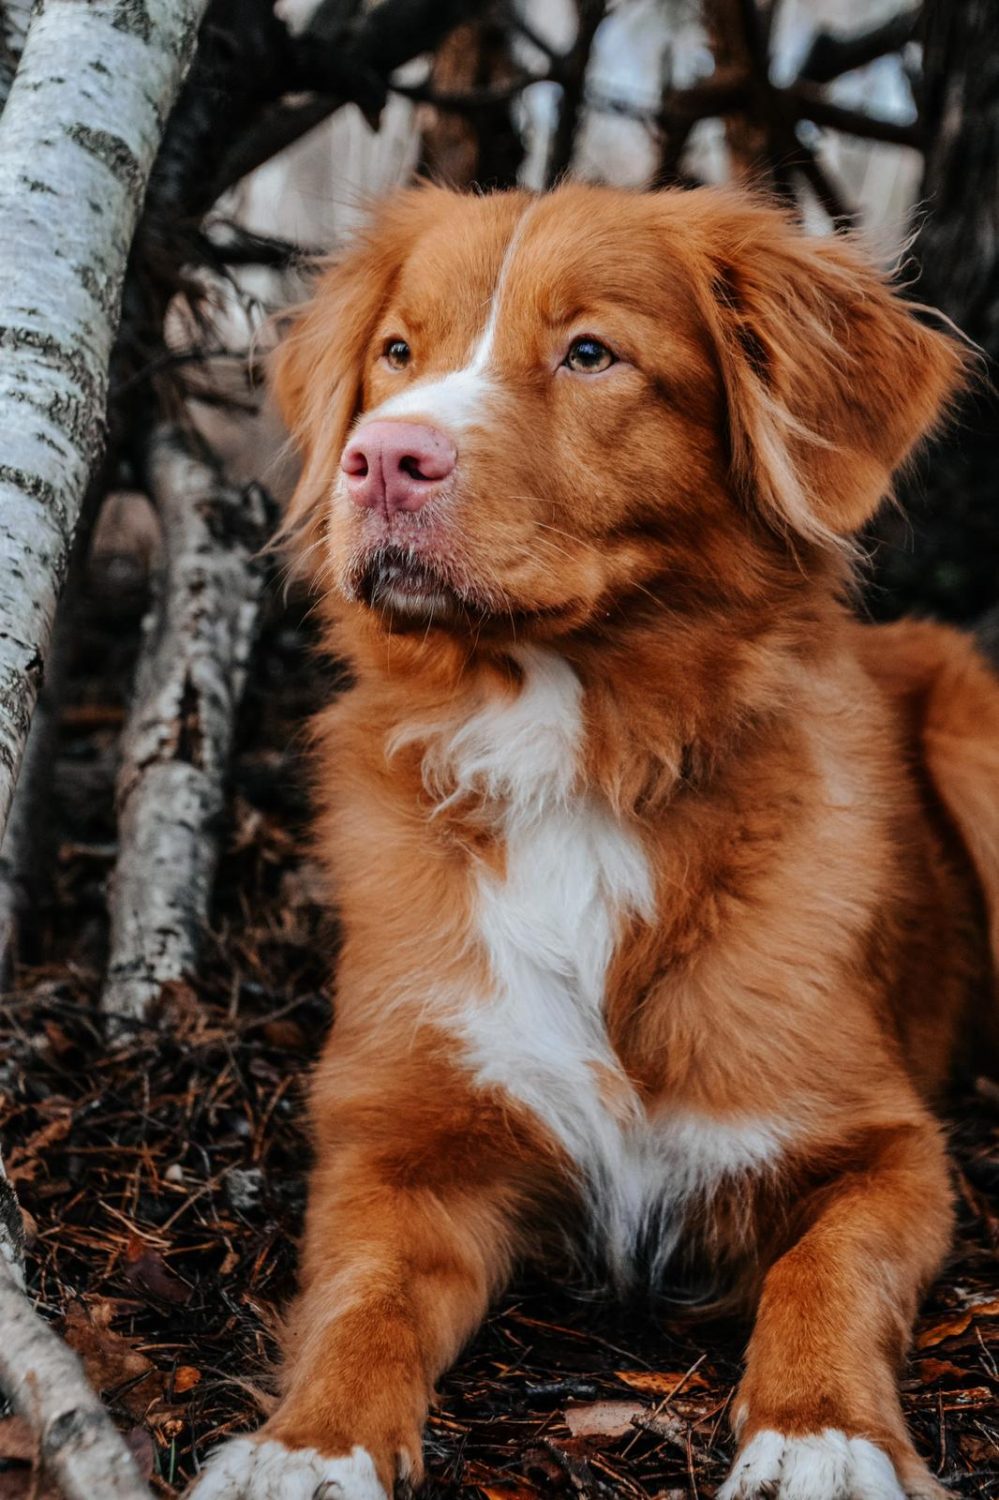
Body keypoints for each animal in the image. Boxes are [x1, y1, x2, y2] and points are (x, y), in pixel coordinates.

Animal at [188, 184, 999, 1500]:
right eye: (397, 353)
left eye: (589, 354)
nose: (383, 459)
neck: (575, 765)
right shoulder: (404, 1149)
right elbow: (362, 1299)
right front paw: (308, 1445)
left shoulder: (883, 1146)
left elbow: (823, 1273)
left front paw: (822, 1432)